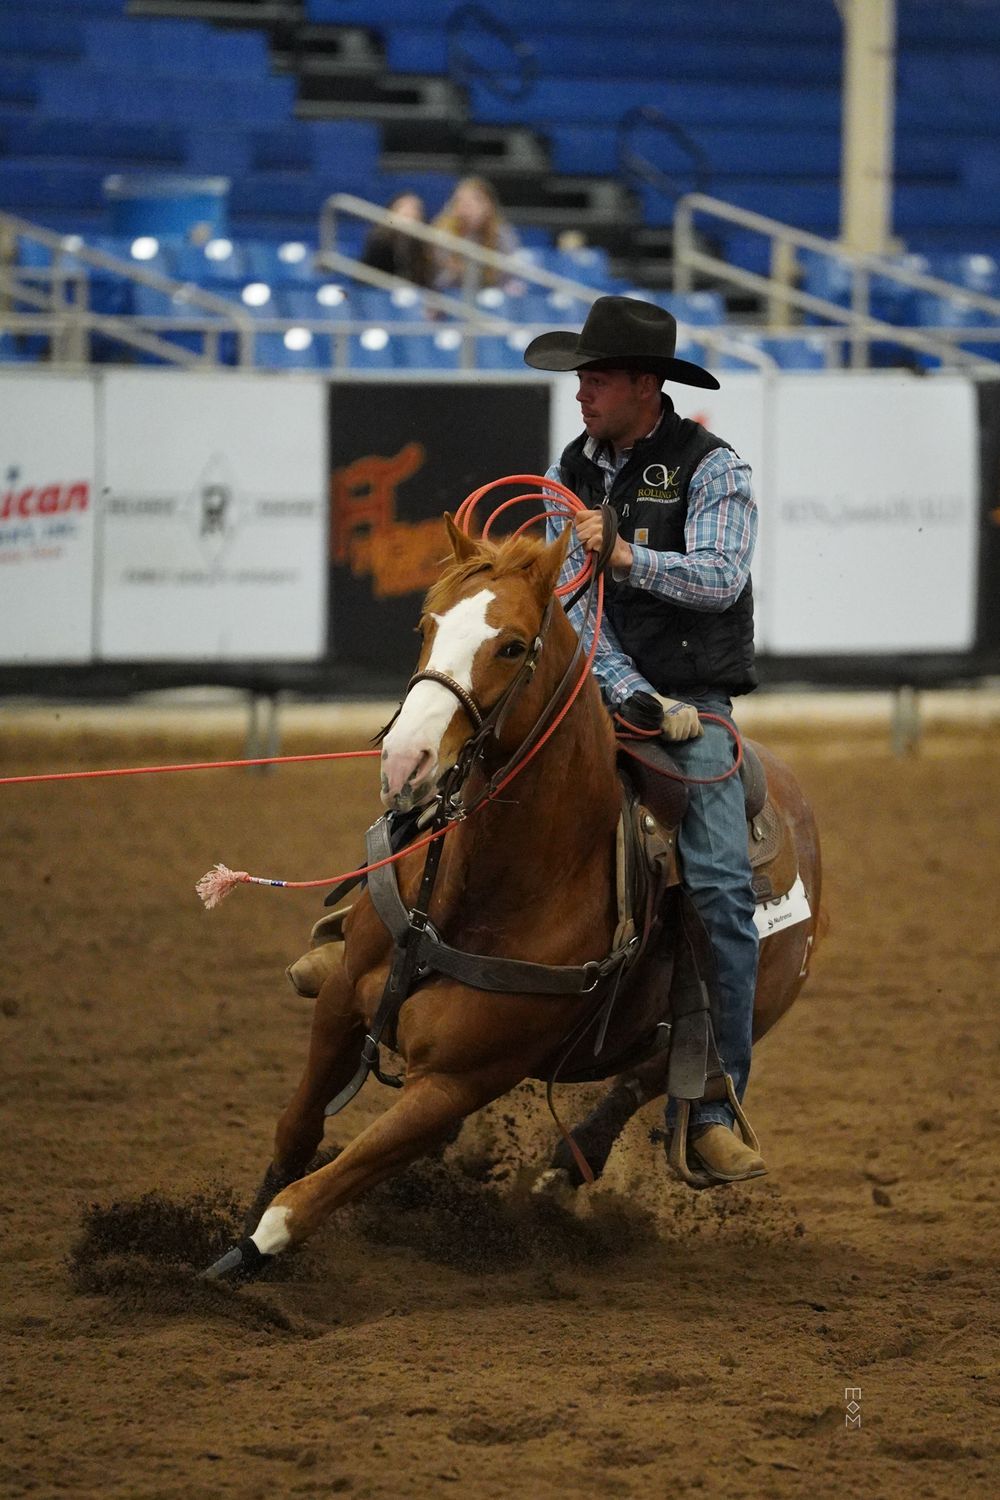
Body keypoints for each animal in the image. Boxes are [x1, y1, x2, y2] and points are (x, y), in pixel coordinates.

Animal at [202, 516, 822, 1283]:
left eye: (512, 646)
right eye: (427, 624)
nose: (405, 762)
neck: (493, 890)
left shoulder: (457, 1083)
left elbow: (311, 1195)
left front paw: (235, 1262)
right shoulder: (345, 999)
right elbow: (296, 1131)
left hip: (748, 1010)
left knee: (652, 1079)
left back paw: (590, 1165)